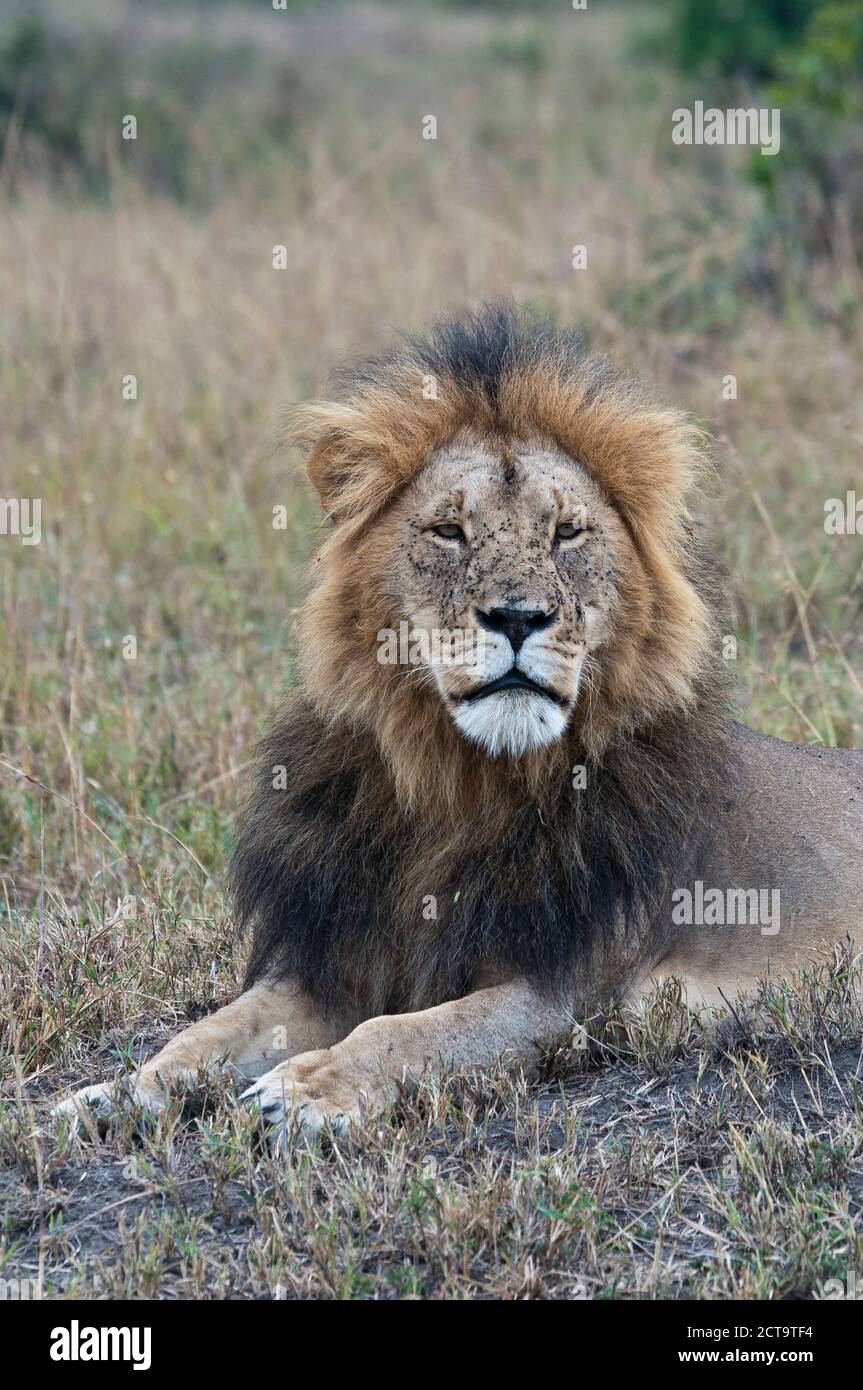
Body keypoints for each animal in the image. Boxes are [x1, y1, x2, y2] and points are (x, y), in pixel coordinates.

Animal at [55, 304, 863, 1142]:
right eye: (448, 532)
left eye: (565, 534)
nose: (516, 617)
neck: (458, 780)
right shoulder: (335, 964)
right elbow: (211, 1030)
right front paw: (117, 1094)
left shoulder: (563, 998)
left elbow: (408, 1031)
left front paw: (306, 1090)